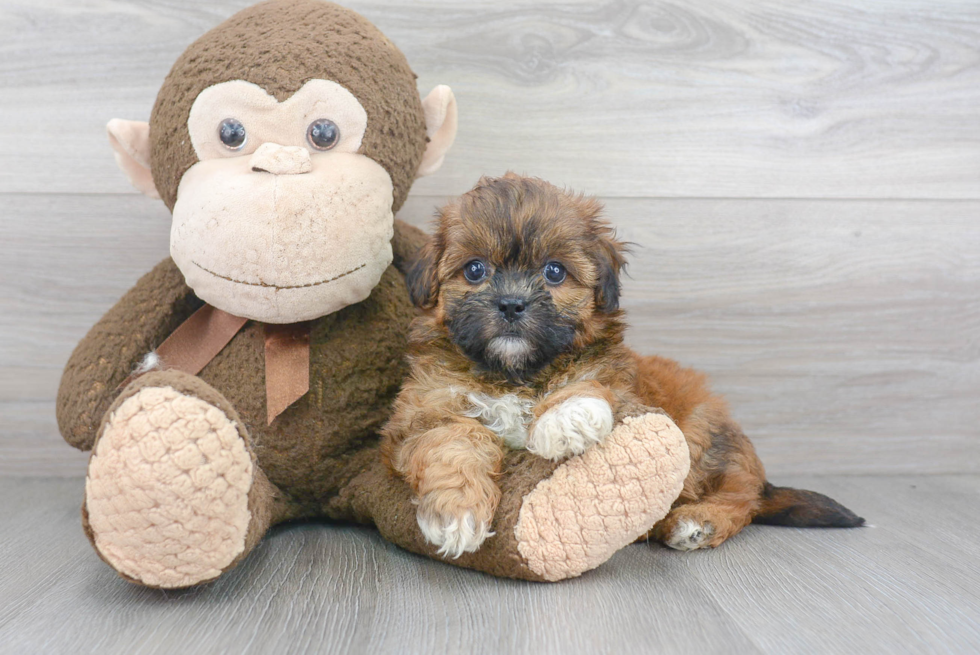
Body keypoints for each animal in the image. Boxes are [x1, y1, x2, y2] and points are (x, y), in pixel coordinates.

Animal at [378, 174, 860, 560]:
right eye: (475, 270)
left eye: (554, 272)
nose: (512, 304)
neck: (515, 372)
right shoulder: (425, 408)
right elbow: (453, 439)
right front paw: (455, 512)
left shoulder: (619, 378)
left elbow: (591, 382)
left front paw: (567, 417)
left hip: (703, 435)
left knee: (742, 500)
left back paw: (699, 522)